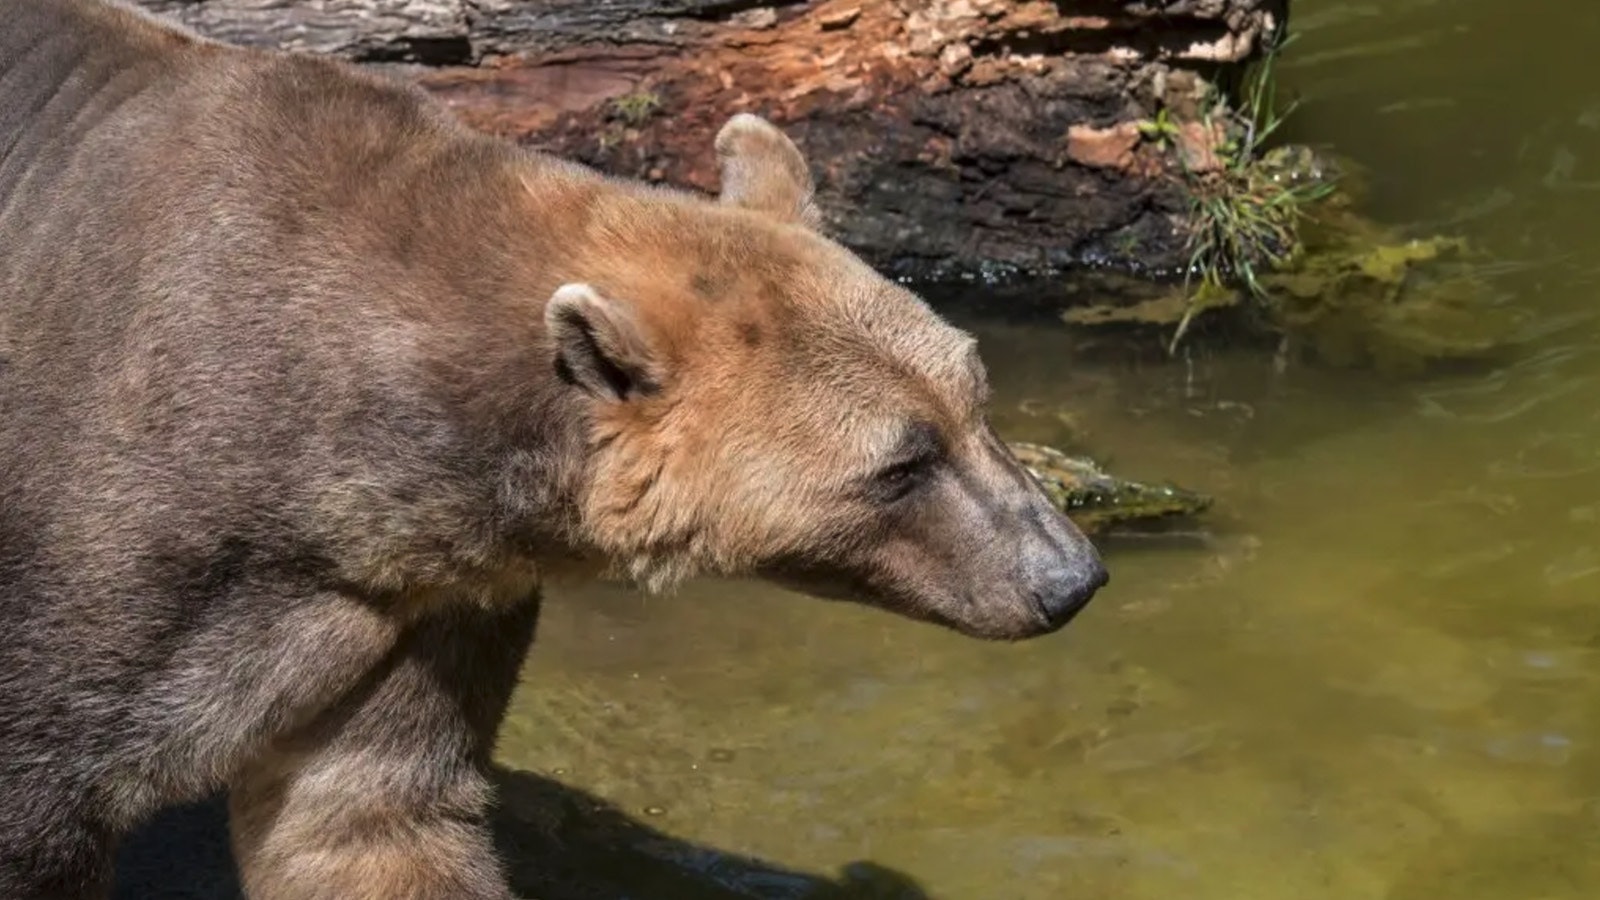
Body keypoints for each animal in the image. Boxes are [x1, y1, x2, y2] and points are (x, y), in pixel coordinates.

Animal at [0, 1, 1100, 896]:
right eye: (900, 464)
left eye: (974, 398)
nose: (1068, 578)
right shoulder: (110, 552)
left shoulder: (419, 601)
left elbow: (372, 817)